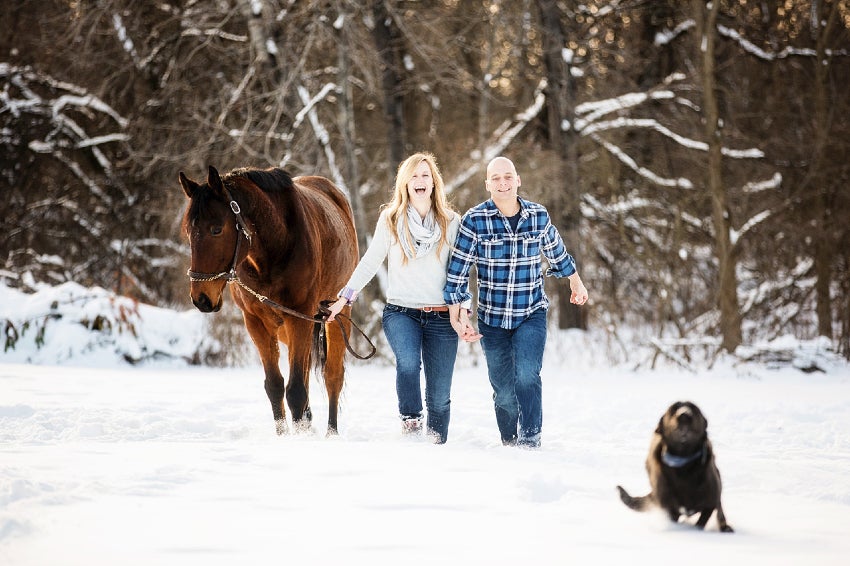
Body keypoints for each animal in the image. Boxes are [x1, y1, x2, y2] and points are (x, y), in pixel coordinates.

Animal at [181, 166, 358, 438]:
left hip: (337, 316)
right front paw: (284, 435)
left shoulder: (298, 318)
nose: (201, 298)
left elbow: (296, 391)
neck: (277, 245)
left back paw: (331, 433)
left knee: (332, 377)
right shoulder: (256, 322)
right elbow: (275, 386)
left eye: (216, 229)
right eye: (189, 232)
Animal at [612, 402, 732, 536]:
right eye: (673, 408)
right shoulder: (669, 506)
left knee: (720, 510)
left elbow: (703, 519)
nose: (684, 415)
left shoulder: (709, 503)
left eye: (694, 408)